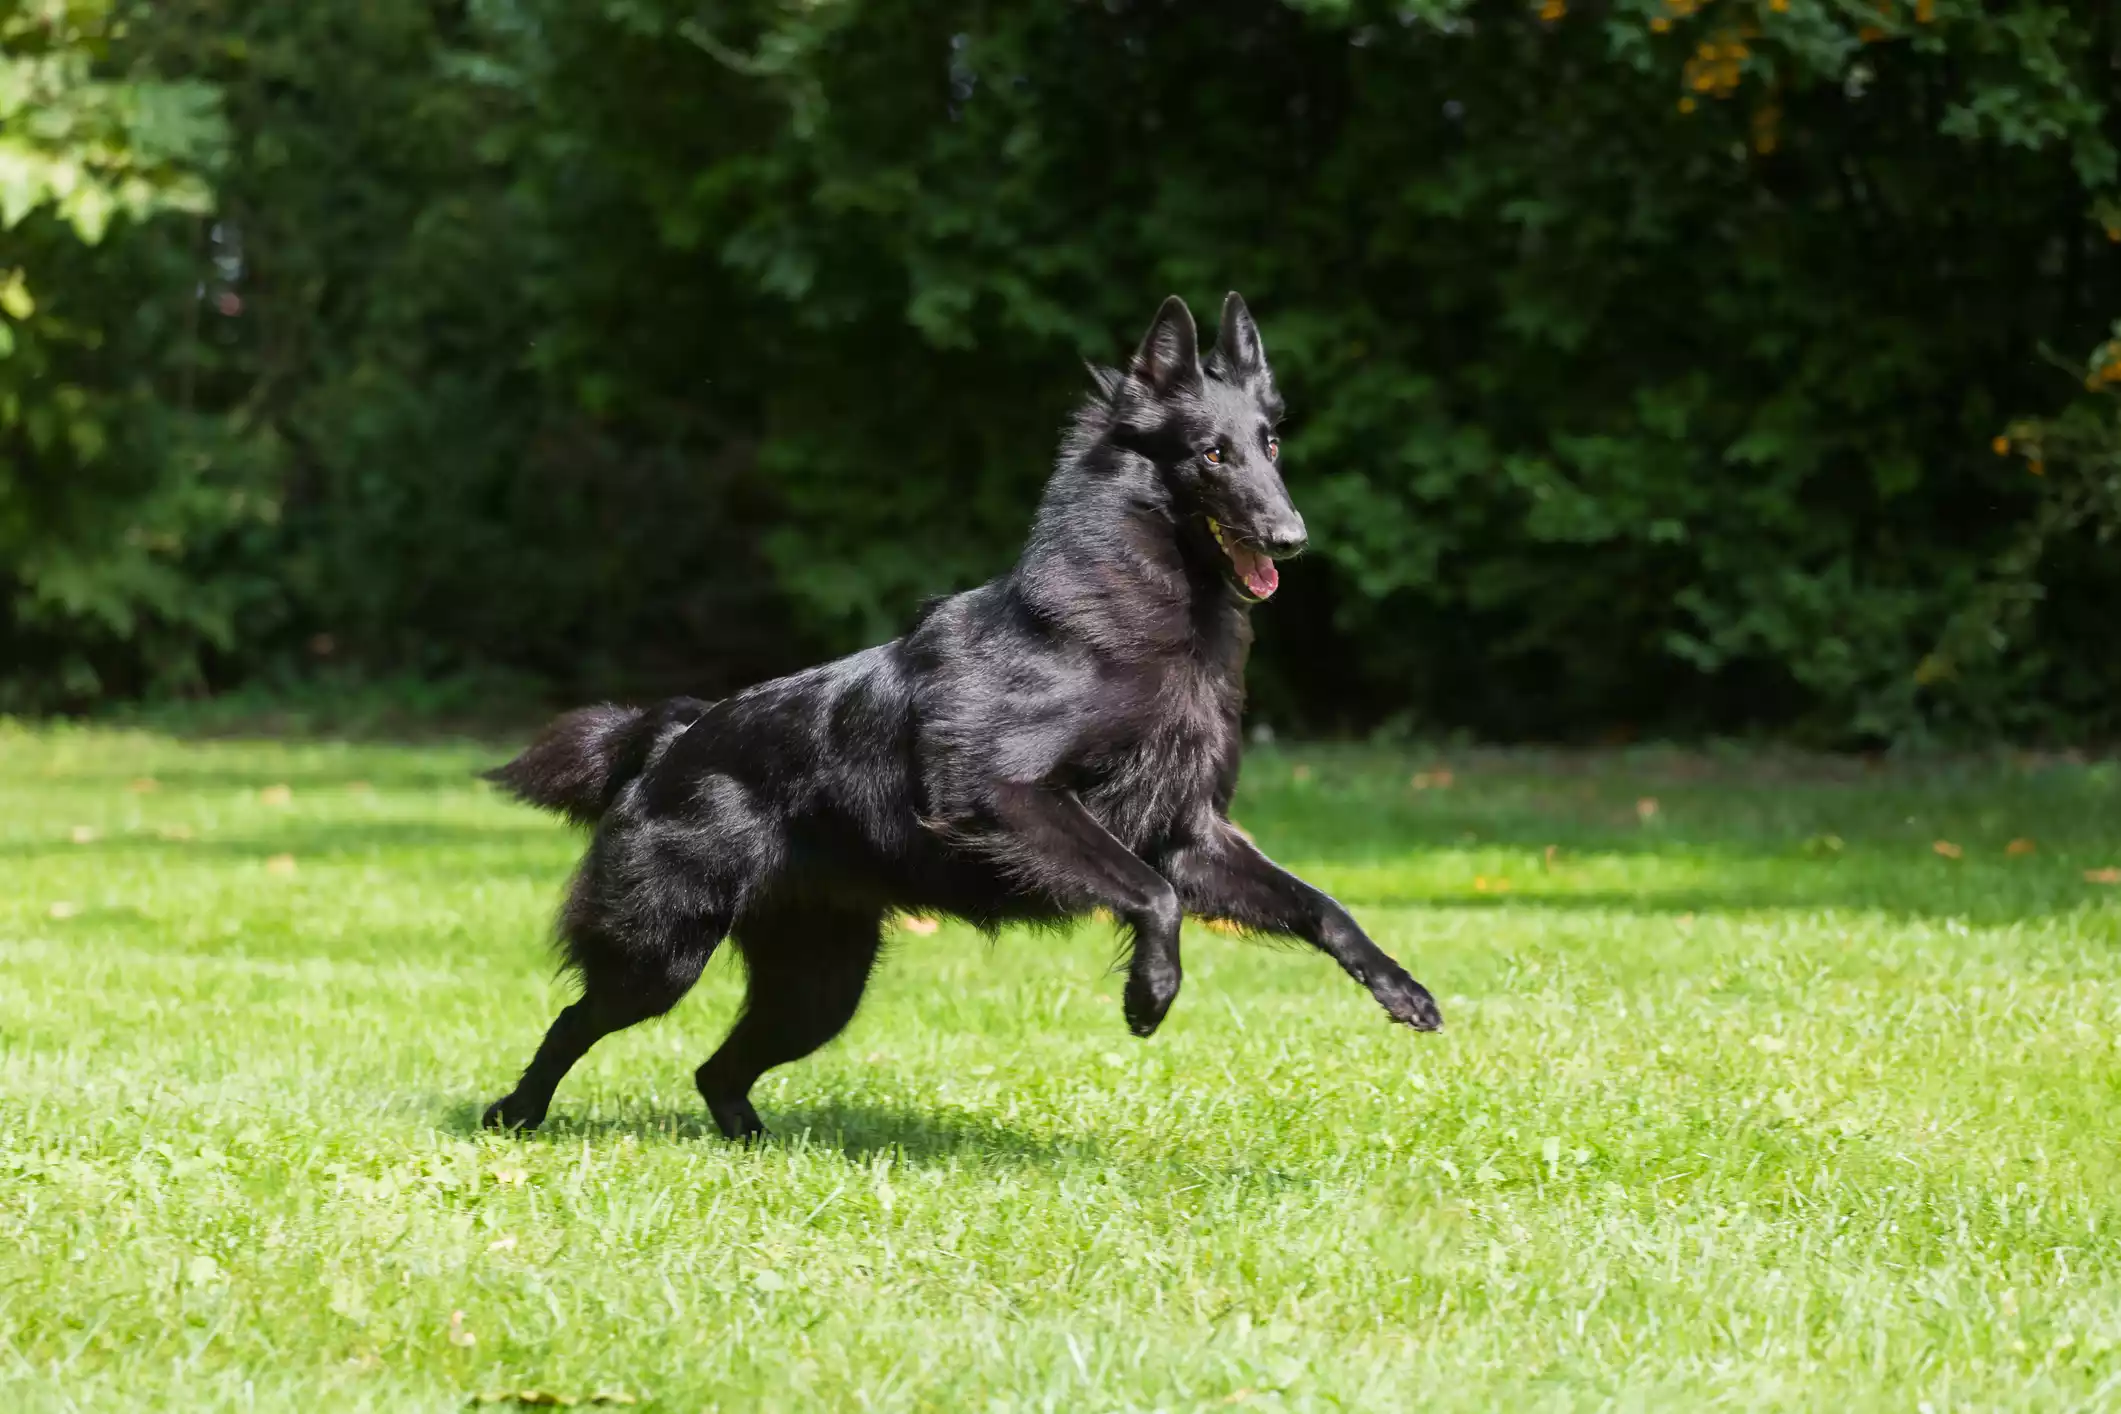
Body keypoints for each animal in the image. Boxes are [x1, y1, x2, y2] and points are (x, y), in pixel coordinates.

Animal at [481, 296, 1442, 1136]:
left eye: (1269, 443)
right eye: (1211, 453)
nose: (1291, 538)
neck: (1124, 629)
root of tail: (674, 739)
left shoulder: (1189, 831)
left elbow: (1318, 905)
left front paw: (1399, 986)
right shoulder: (1006, 797)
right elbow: (1151, 893)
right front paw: (1149, 995)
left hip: (818, 988)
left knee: (715, 1068)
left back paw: (748, 1140)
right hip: (663, 958)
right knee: (575, 1021)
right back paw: (514, 1115)